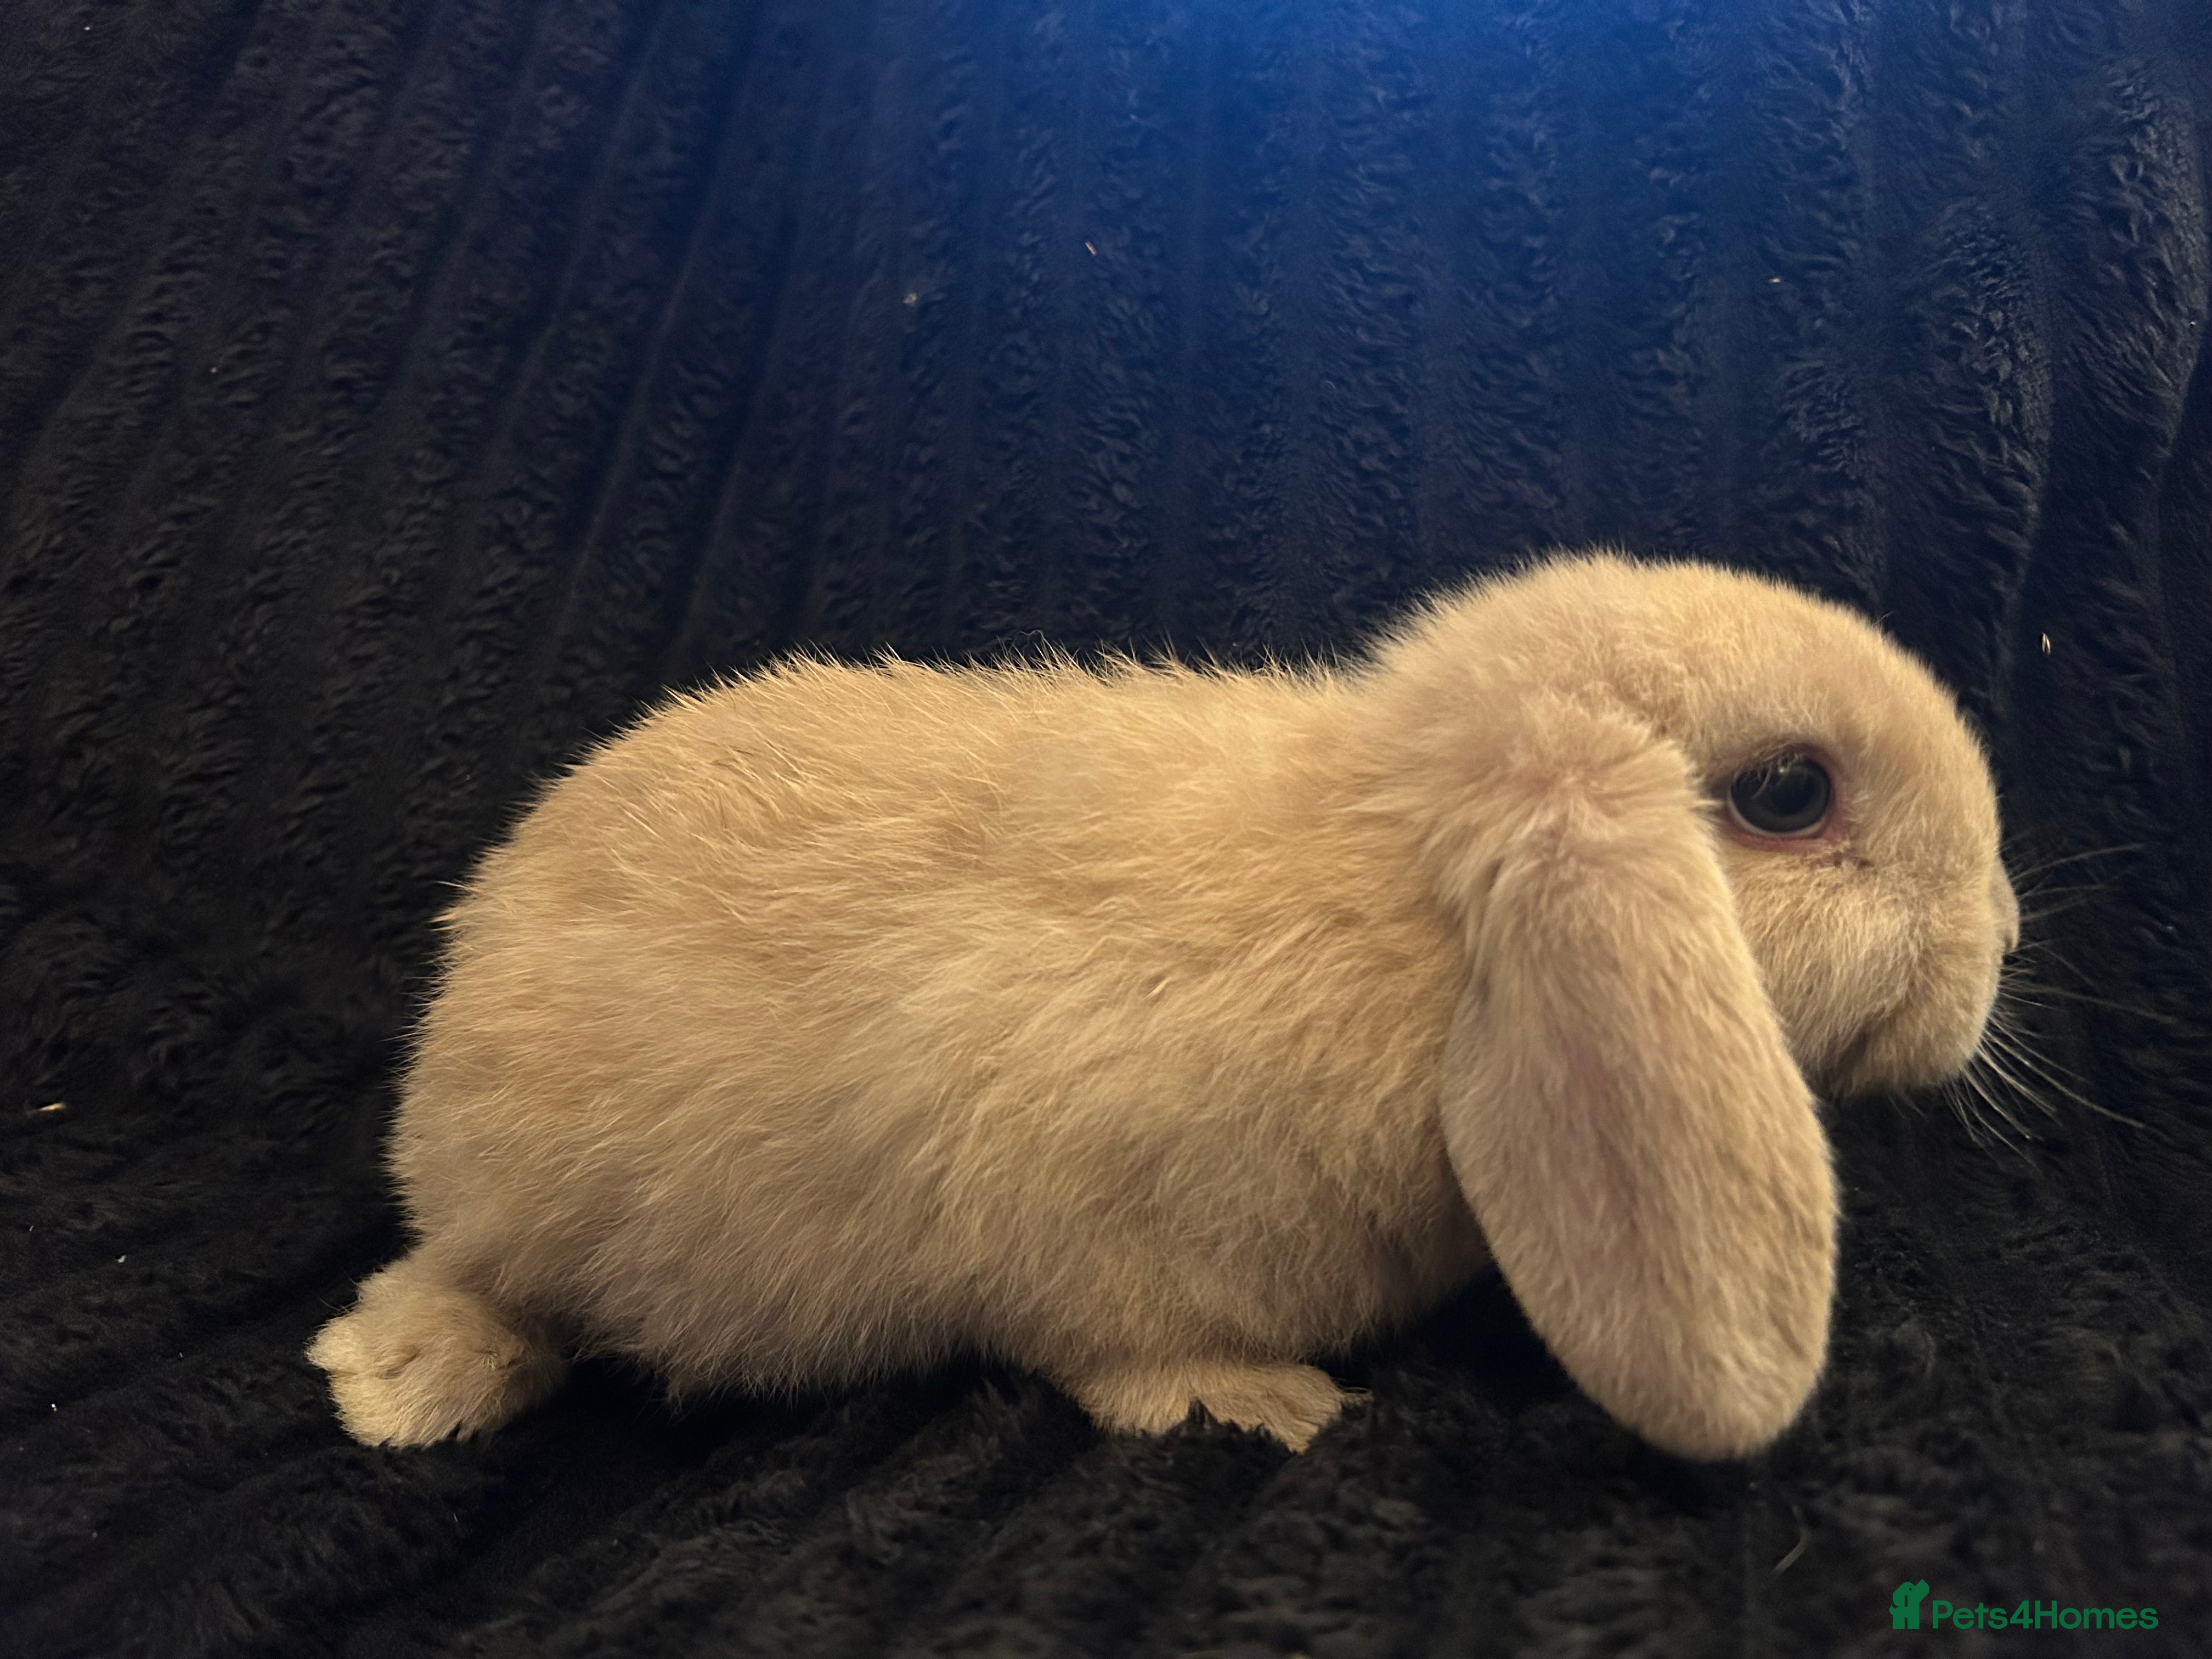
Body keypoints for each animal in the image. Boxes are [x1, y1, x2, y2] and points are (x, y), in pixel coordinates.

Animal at [308, 549, 2017, 1460]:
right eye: (1788, 794)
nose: (1997, 933)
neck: (1409, 908)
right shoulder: (1085, 1222)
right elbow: (1122, 1355)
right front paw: (1269, 1406)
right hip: (517, 1205)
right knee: (463, 1283)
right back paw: (401, 1389)